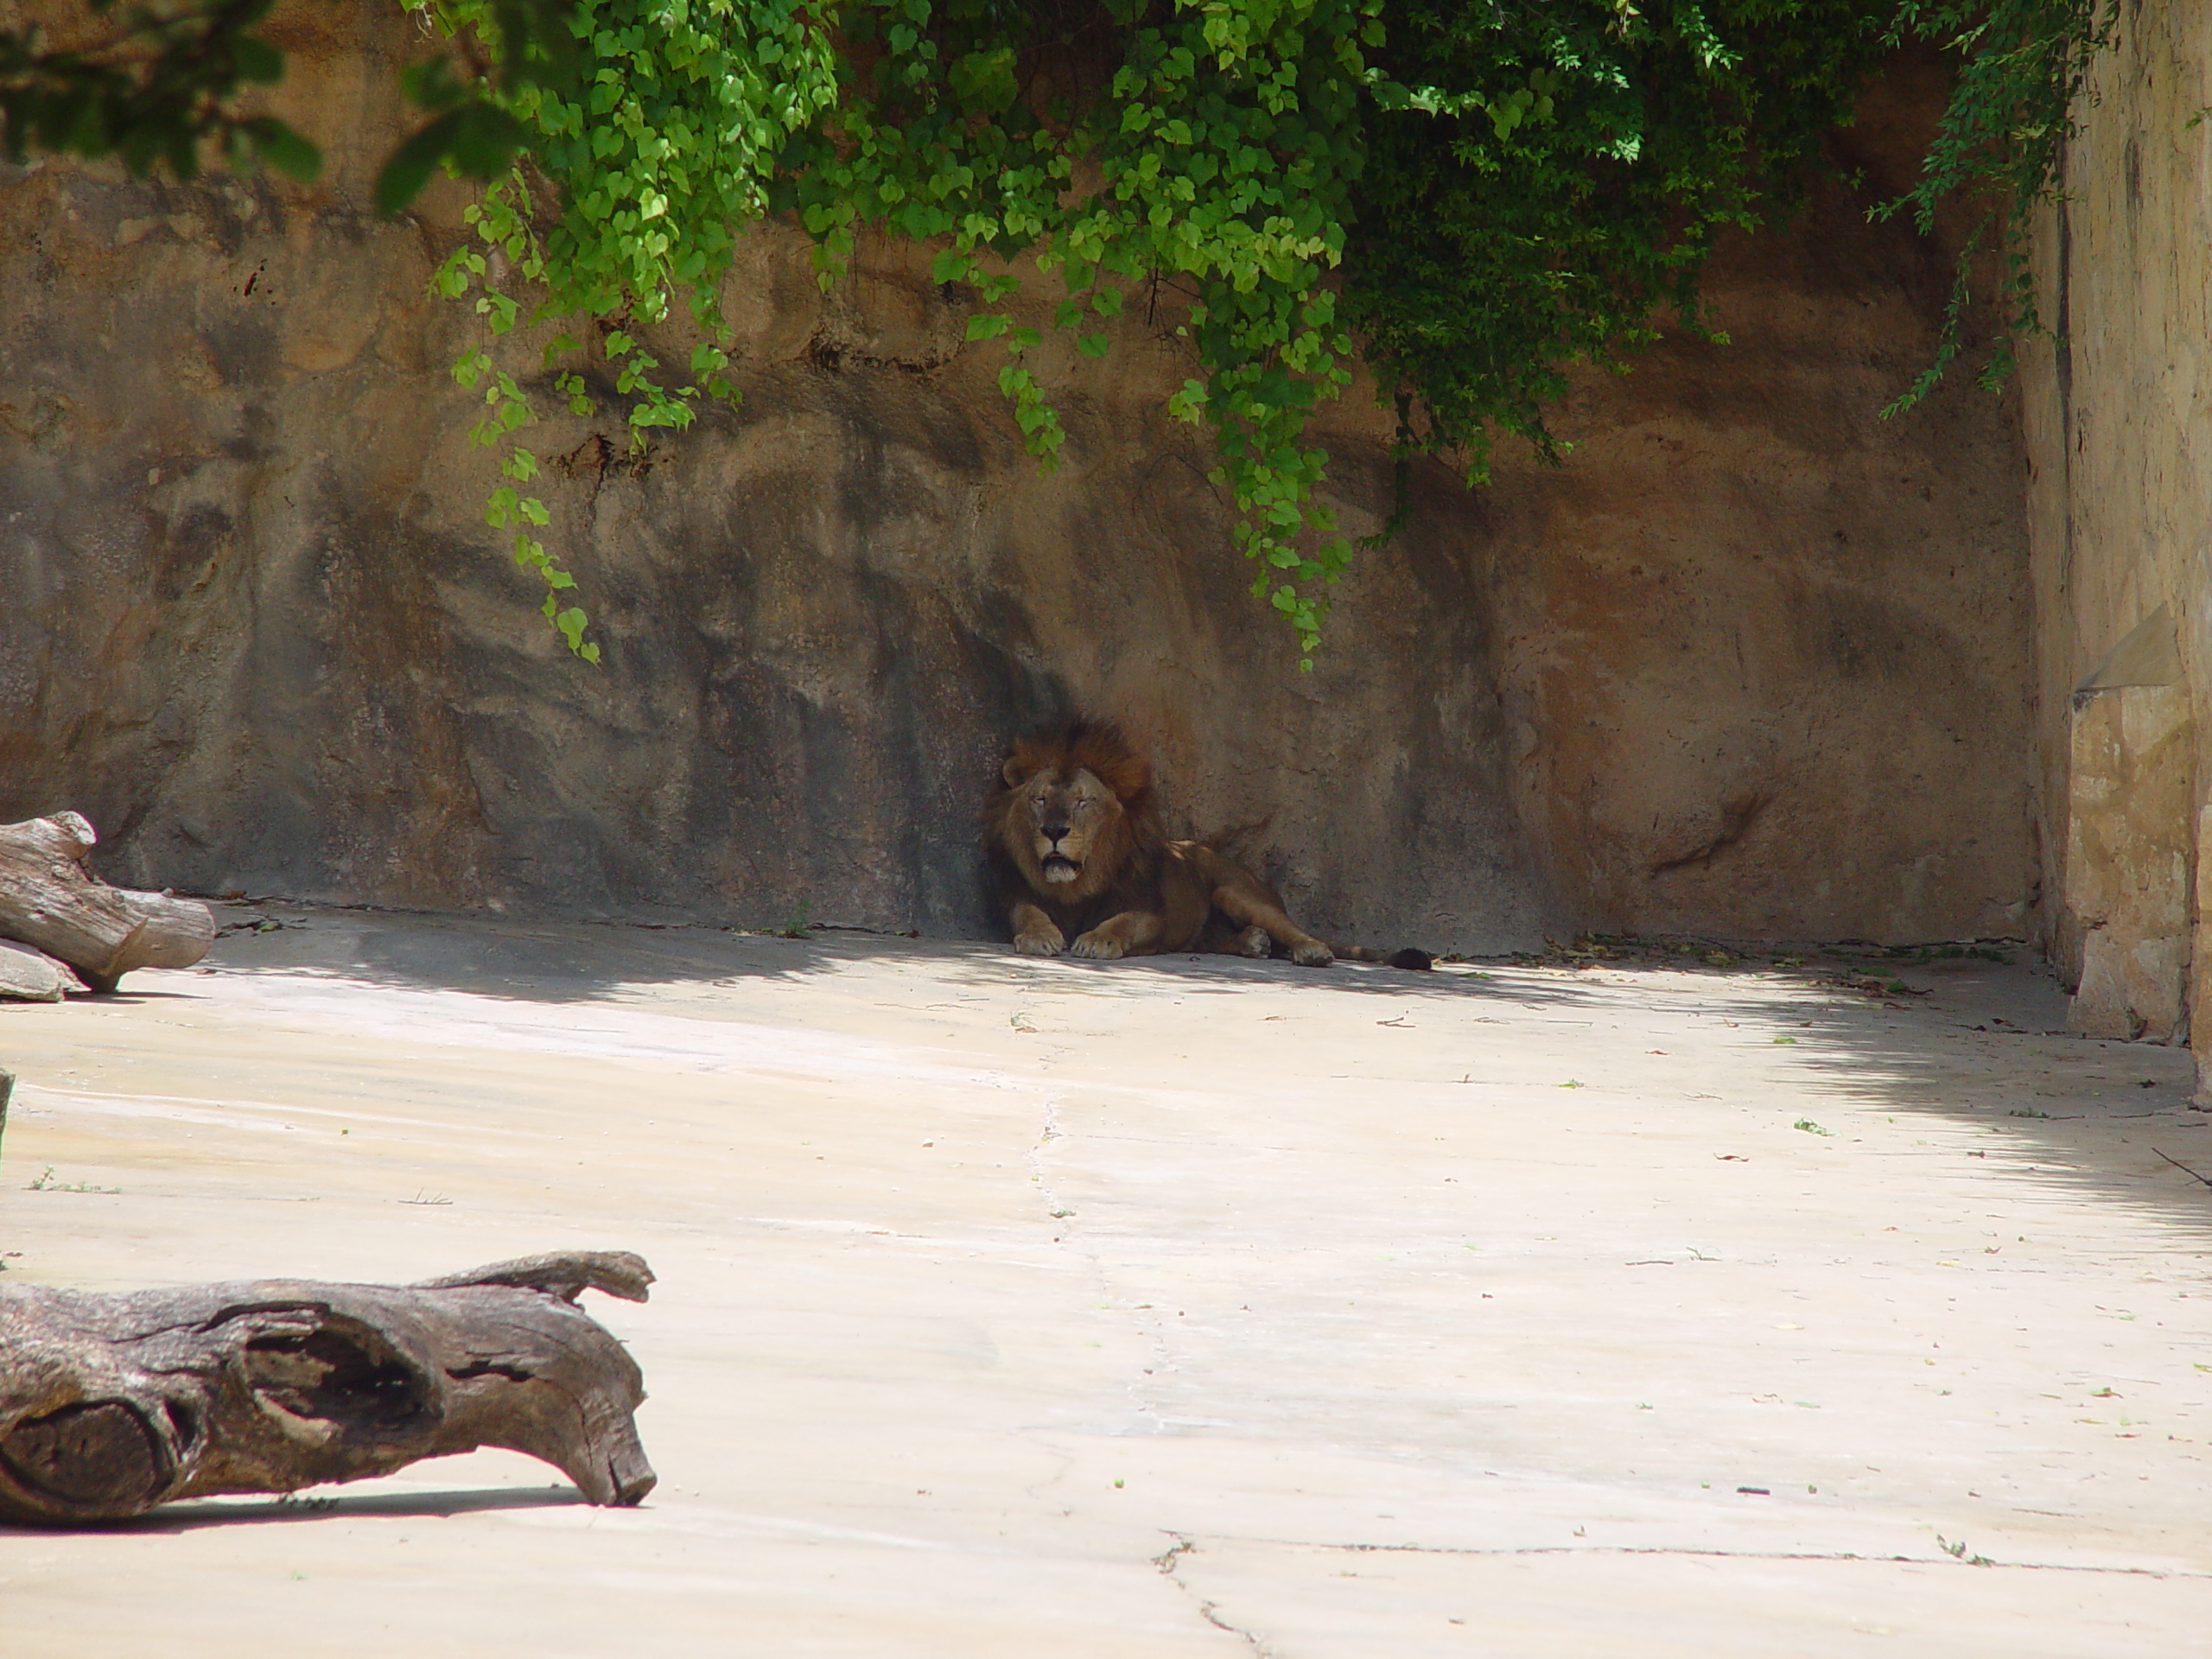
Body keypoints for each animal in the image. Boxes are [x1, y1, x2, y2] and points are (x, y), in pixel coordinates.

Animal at [986, 716, 1433, 973]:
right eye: (1039, 799)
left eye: (1083, 801)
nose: (1054, 831)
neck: (1077, 886)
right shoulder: (1017, 893)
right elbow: (1028, 913)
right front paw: (1039, 936)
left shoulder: (1153, 912)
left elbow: (1123, 921)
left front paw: (1097, 939)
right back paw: (1252, 942)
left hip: (1235, 891)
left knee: (1295, 929)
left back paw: (1310, 951)